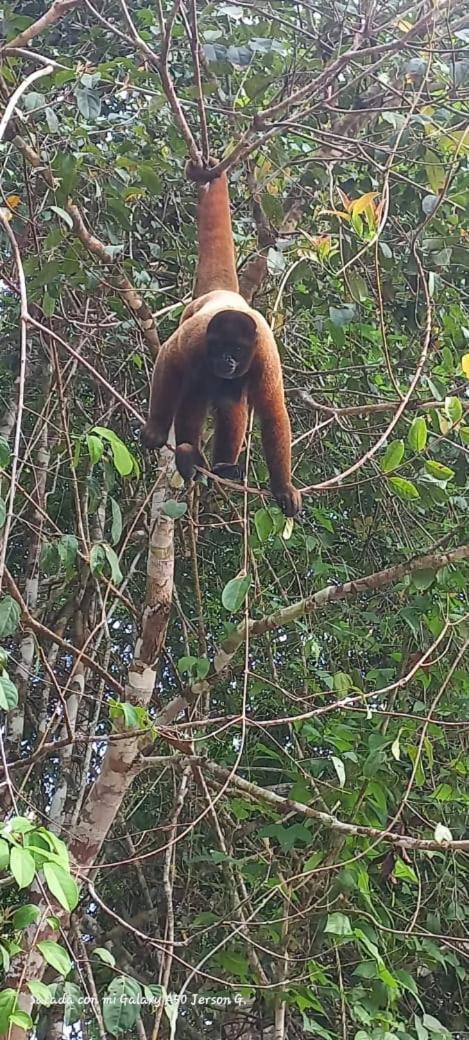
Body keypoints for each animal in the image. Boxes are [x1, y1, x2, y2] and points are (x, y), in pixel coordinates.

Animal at [140, 162, 301, 515]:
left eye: (237, 350)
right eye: (220, 347)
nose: (226, 361)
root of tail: (225, 293)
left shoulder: (264, 355)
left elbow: (273, 413)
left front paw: (283, 487)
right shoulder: (196, 339)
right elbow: (168, 361)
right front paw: (156, 428)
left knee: (230, 400)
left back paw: (223, 468)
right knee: (195, 389)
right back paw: (189, 454)